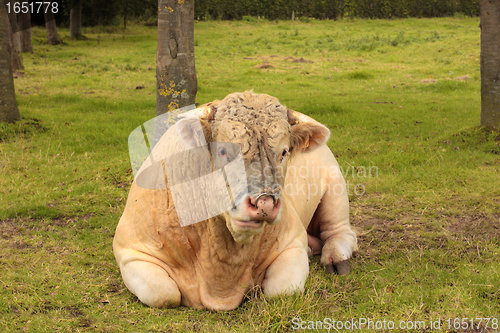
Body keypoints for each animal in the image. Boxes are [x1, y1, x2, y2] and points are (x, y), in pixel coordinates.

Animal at [113, 91, 358, 308]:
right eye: (222, 151)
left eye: (284, 152)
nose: (264, 203)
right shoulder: (130, 250)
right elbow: (163, 294)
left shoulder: (293, 240)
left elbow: (281, 290)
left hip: (336, 189)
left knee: (341, 232)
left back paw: (336, 257)